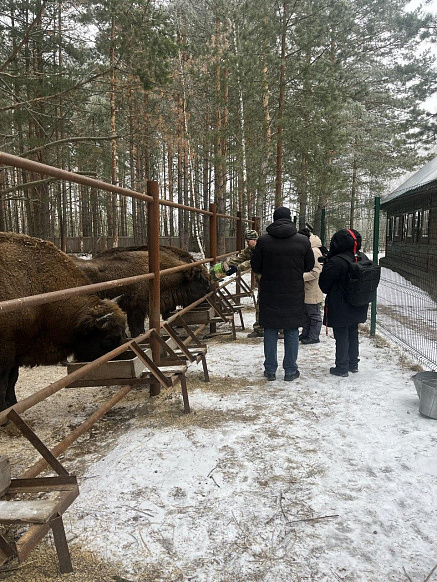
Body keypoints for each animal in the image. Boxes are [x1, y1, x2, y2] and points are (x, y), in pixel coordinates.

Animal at [0, 233, 126, 416]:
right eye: (109, 339)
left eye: (124, 331)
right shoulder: (6, 355)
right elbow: (3, 384)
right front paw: (5, 410)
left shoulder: (17, 352)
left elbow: (12, 380)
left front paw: (13, 405)